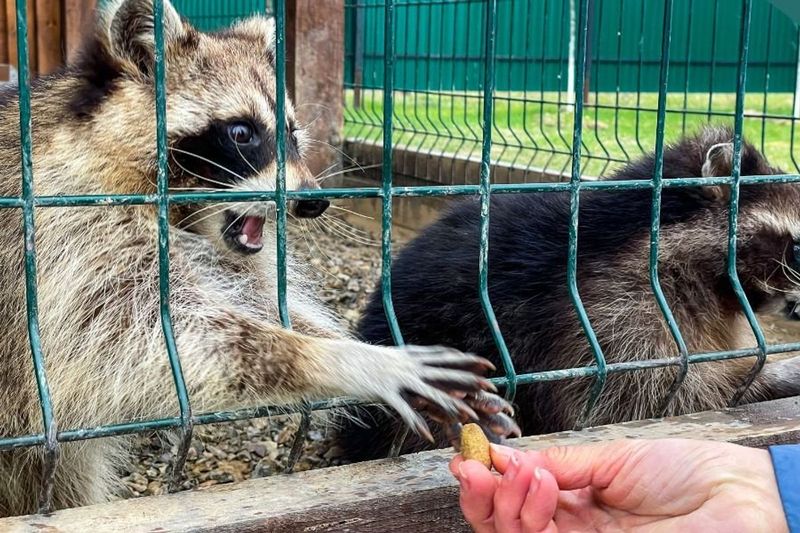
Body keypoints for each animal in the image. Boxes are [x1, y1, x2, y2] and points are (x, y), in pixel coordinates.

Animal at [0, 0, 519, 517]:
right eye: (241, 132)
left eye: (291, 132)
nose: (313, 202)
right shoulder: (65, 224)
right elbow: (139, 331)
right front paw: (342, 359)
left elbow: (255, 302)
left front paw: (351, 345)